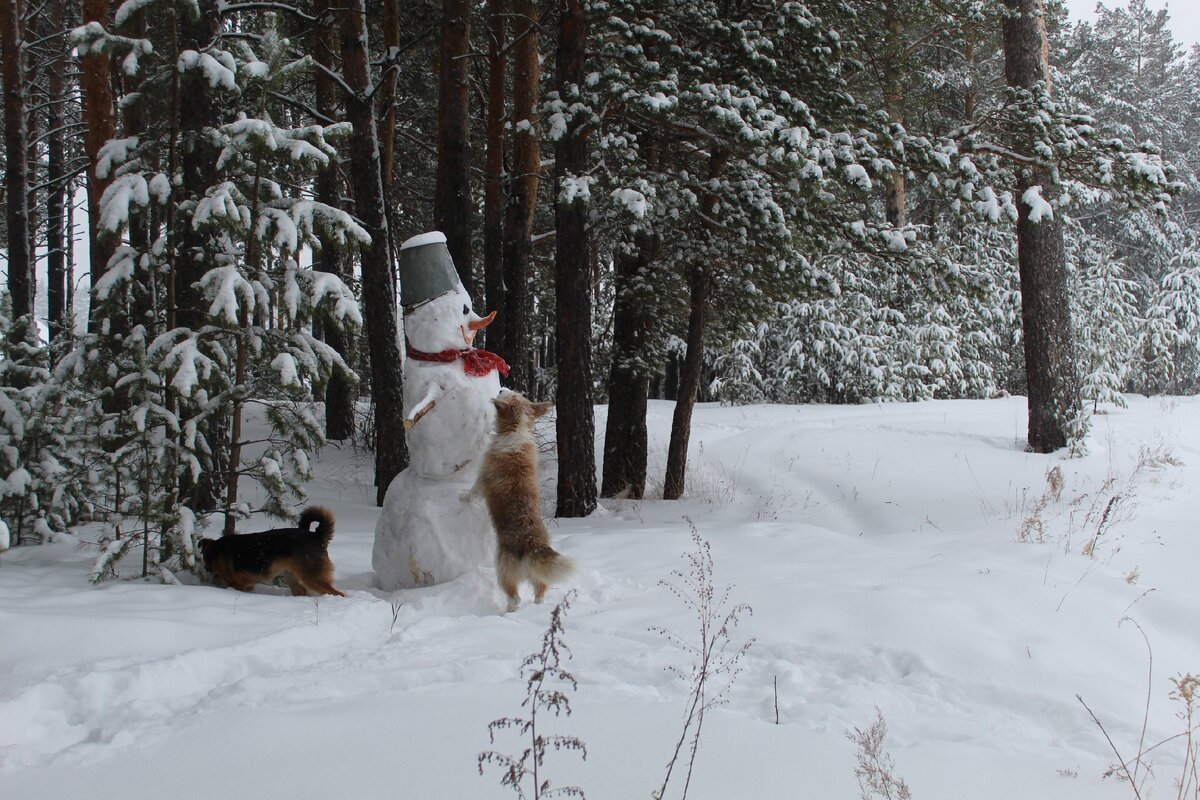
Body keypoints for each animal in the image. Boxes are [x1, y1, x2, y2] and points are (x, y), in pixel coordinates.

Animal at [199, 506, 345, 594]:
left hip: (312, 577)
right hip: (292, 578)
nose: (206, 569)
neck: (215, 550)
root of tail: (316, 535)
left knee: (337, 593)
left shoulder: (239, 585)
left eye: (205, 557)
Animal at [470, 391, 573, 609]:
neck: (517, 428)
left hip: (504, 570)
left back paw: (508, 611)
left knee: (514, 596)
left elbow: (472, 491)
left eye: (512, 395)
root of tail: (532, 543)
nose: (502, 389)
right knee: (540, 592)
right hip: (539, 575)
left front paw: (463, 498)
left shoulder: (482, 478)